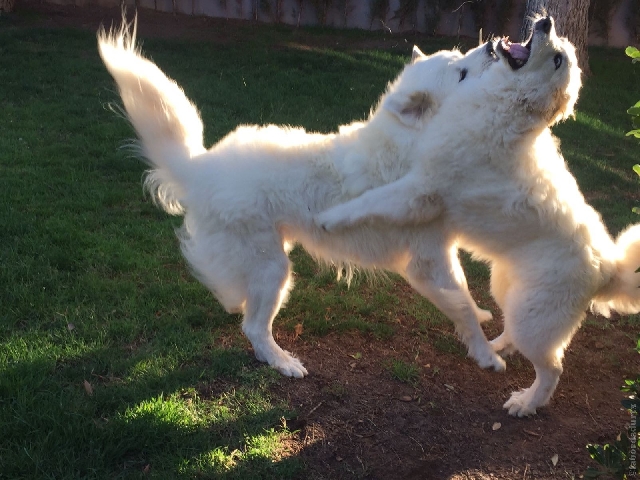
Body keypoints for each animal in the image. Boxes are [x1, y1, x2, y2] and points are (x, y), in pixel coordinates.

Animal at [96, 17, 504, 378]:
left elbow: (466, 297)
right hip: (273, 268)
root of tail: (201, 166)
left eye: (462, 55)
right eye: (461, 73)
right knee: (254, 328)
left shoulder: (443, 252)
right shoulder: (430, 259)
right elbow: (463, 307)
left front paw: (482, 321)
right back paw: (283, 362)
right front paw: (486, 354)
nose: (493, 45)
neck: (413, 144)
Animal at [318, 17, 640, 416]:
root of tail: (607, 268)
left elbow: (370, 201)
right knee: (515, 334)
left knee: (552, 368)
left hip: (534, 320)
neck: (498, 110)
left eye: (558, 60)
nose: (546, 21)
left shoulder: (421, 188)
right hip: (507, 291)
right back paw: (498, 344)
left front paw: (332, 217)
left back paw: (526, 402)